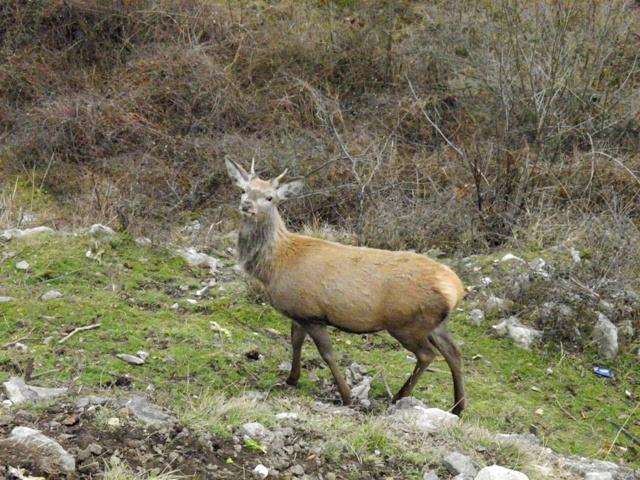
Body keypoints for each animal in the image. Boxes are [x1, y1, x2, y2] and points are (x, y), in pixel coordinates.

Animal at [228, 159, 468, 414]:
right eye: (243, 190)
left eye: (270, 197)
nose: (246, 205)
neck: (275, 266)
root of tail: (456, 289)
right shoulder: (298, 312)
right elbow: (295, 342)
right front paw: (291, 379)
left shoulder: (313, 314)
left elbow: (327, 354)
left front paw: (346, 396)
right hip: (435, 323)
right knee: (454, 351)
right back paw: (458, 407)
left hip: (407, 322)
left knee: (427, 354)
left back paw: (399, 397)